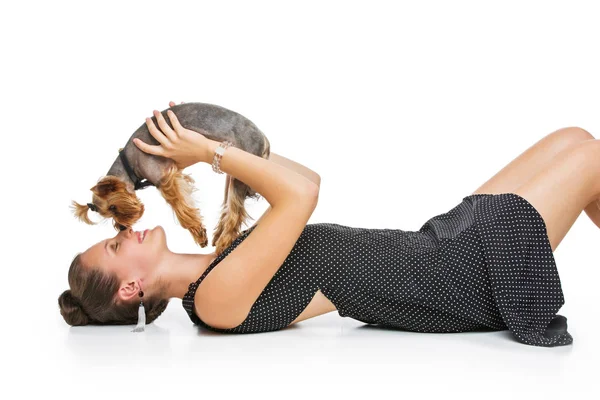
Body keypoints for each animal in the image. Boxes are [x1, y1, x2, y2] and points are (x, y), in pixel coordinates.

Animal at [68, 101, 272, 255]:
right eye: (109, 216)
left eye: (113, 207)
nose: (122, 228)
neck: (127, 164)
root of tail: (264, 138)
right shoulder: (175, 174)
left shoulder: (163, 178)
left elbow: (181, 208)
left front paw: (199, 234)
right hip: (232, 172)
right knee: (229, 205)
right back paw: (218, 237)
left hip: (243, 168)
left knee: (234, 212)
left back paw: (223, 244)